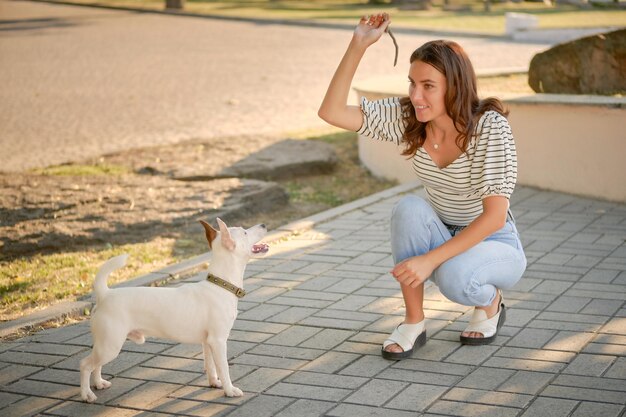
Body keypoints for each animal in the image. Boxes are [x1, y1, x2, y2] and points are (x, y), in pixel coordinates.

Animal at [79, 219, 266, 402]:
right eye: (245, 232)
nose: (263, 224)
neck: (220, 285)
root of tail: (105, 294)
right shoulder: (218, 341)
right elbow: (223, 367)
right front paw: (229, 390)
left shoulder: (208, 342)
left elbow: (210, 365)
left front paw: (214, 382)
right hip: (110, 346)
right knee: (85, 365)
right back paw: (87, 394)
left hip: (105, 345)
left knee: (96, 364)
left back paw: (99, 383)